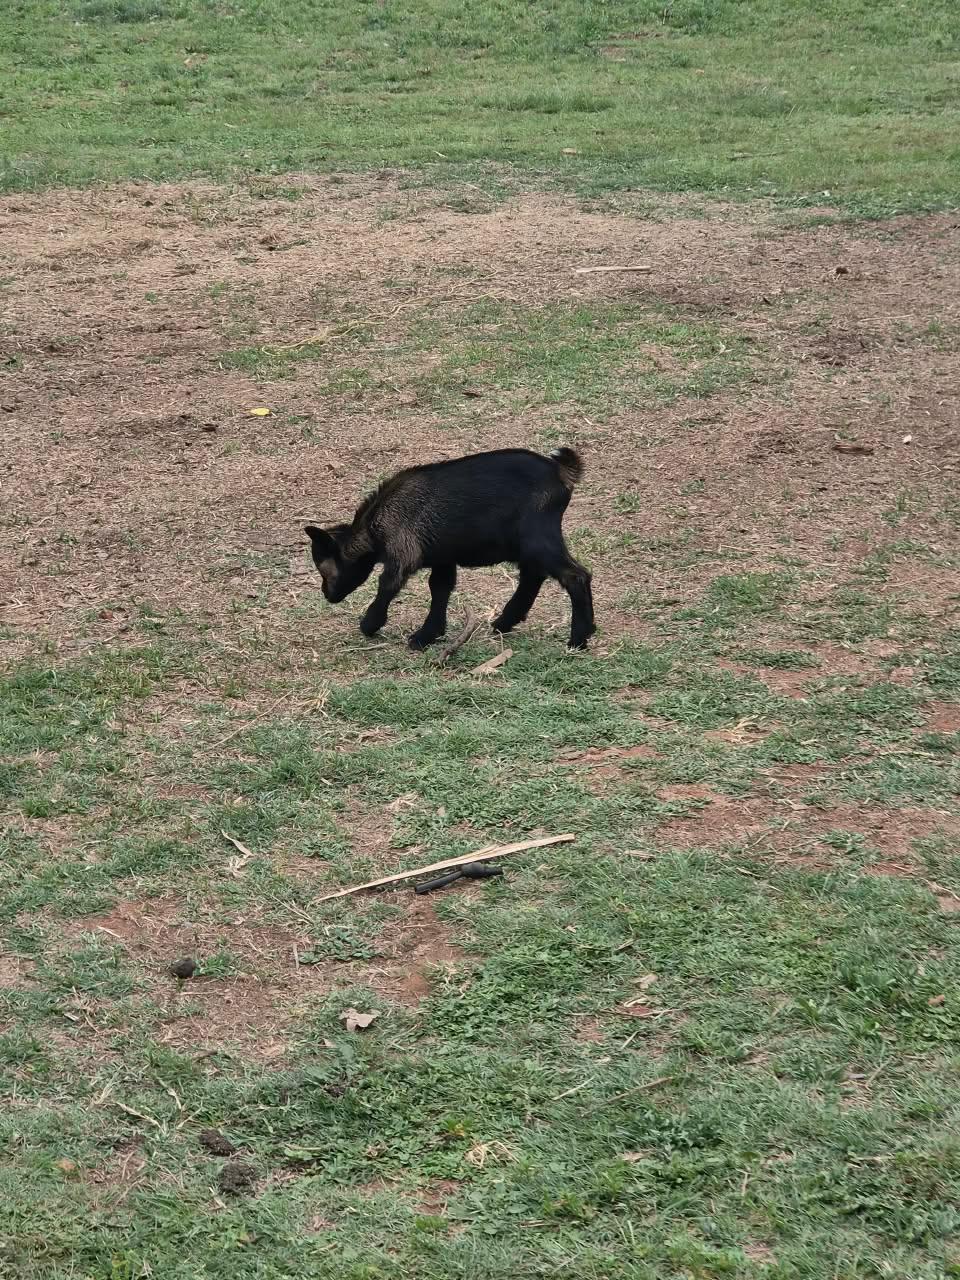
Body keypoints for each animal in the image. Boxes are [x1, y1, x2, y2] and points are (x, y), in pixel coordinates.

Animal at [304, 447, 595, 650]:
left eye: (324, 569)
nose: (327, 595)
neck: (376, 524)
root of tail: (560, 472)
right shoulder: (442, 558)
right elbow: (440, 588)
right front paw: (428, 635)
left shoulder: (403, 552)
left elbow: (388, 585)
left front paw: (370, 624)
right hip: (526, 545)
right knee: (533, 576)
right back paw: (505, 622)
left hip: (537, 539)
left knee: (575, 576)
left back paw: (578, 639)